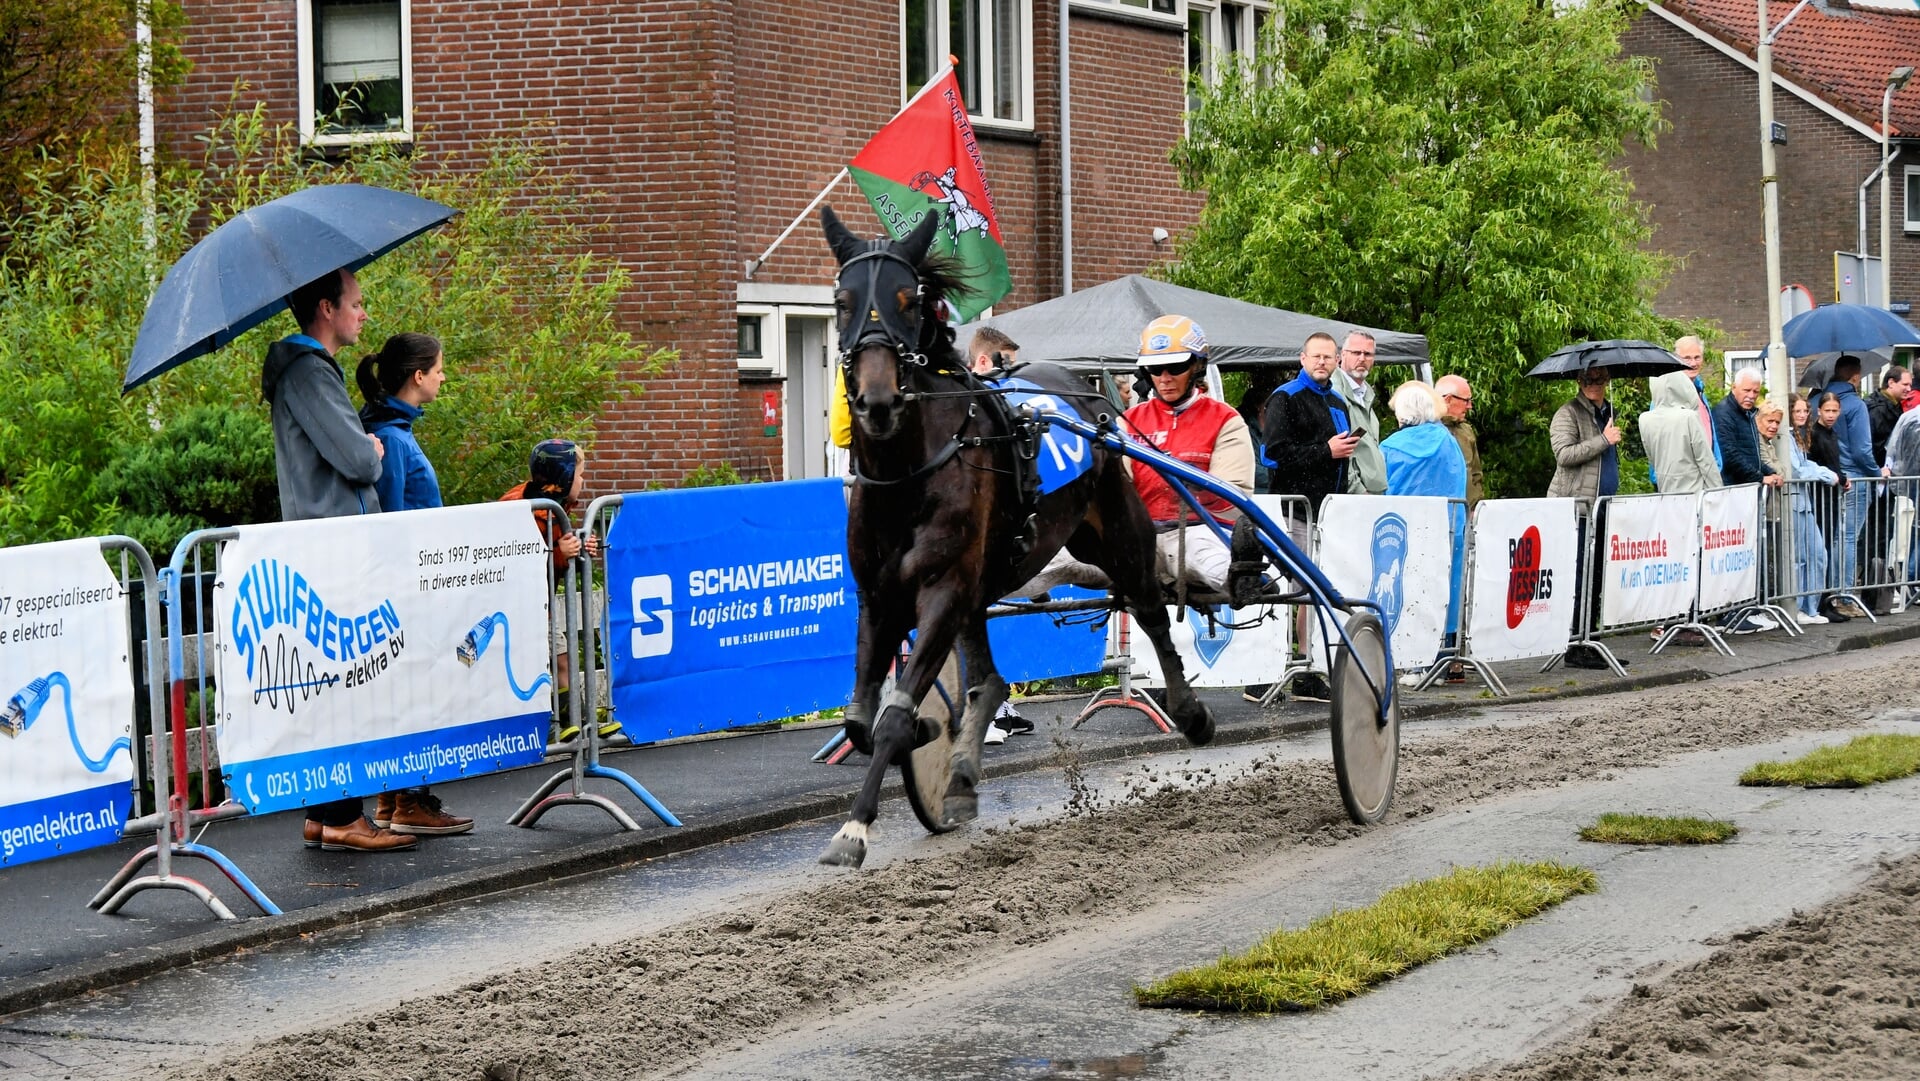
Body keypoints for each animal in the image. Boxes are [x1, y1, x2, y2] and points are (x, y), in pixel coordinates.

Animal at [814, 205, 1205, 871]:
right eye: (842, 302)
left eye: (907, 300)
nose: (877, 402)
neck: (906, 474)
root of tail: (1086, 391)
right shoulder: (879, 596)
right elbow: (861, 720)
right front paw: (928, 733)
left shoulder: (943, 589)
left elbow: (889, 721)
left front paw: (855, 828)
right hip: (983, 584)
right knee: (989, 679)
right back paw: (961, 776)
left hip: (1115, 531)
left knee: (1151, 610)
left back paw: (1189, 711)